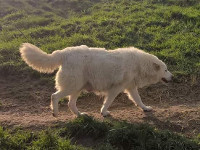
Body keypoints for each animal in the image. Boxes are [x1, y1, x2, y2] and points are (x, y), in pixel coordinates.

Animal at [19, 43, 172, 117]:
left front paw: (146, 109)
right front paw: (104, 113)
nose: (173, 77)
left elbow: (139, 101)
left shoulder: (131, 88)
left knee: (70, 104)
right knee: (54, 96)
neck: (140, 65)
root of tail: (63, 53)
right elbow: (108, 102)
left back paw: (80, 115)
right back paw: (55, 113)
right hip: (72, 87)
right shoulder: (115, 89)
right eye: (165, 70)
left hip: (77, 88)